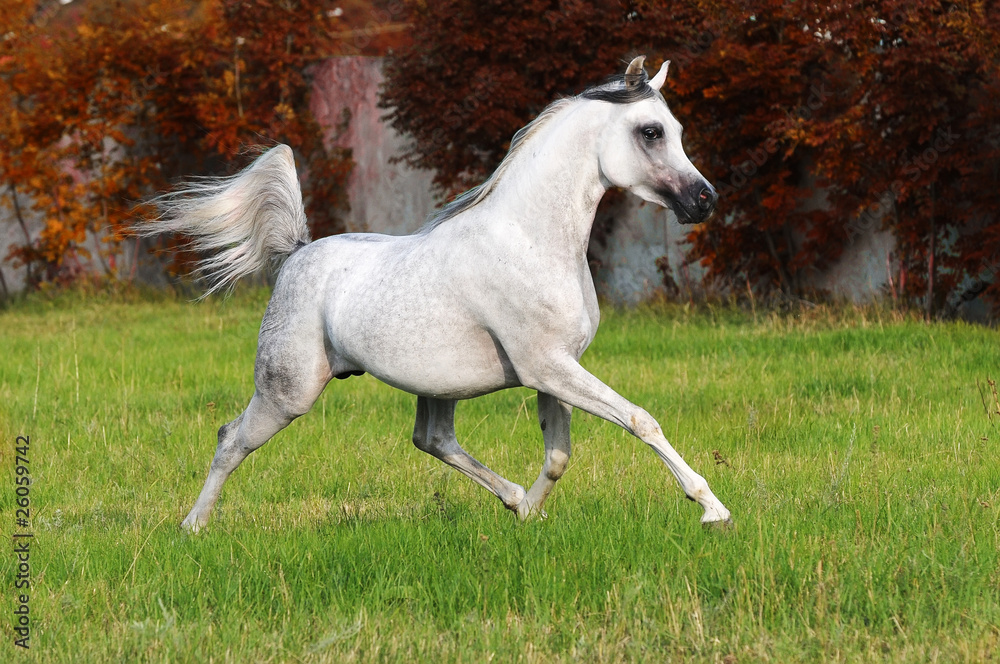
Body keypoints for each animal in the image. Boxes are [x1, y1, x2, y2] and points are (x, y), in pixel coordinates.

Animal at [140, 55, 732, 533]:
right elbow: (640, 419)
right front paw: (712, 509)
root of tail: (296, 254)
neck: (531, 239)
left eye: (675, 128)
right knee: (230, 438)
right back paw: (193, 526)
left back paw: (512, 499)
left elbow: (559, 454)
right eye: (651, 131)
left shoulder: (556, 368)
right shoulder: (548, 366)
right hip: (288, 392)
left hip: (436, 386)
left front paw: (530, 514)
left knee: (432, 439)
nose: (704, 200)